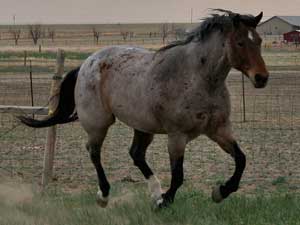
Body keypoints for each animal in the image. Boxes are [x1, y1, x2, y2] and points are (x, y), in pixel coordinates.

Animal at [18, 9, 270, 208]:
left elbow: (241, 160)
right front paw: (166, 202)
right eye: (240, 42)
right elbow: (178, 176)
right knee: (94, 152)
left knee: (136, 154)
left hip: (142, 126)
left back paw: (154, 192)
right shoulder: (177, 136)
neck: (198, 79)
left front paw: (220, 192)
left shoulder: (219, 130)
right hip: (99, 124)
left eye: (258, 41)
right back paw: (105, 195)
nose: (262, 78)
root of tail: (86, 63)